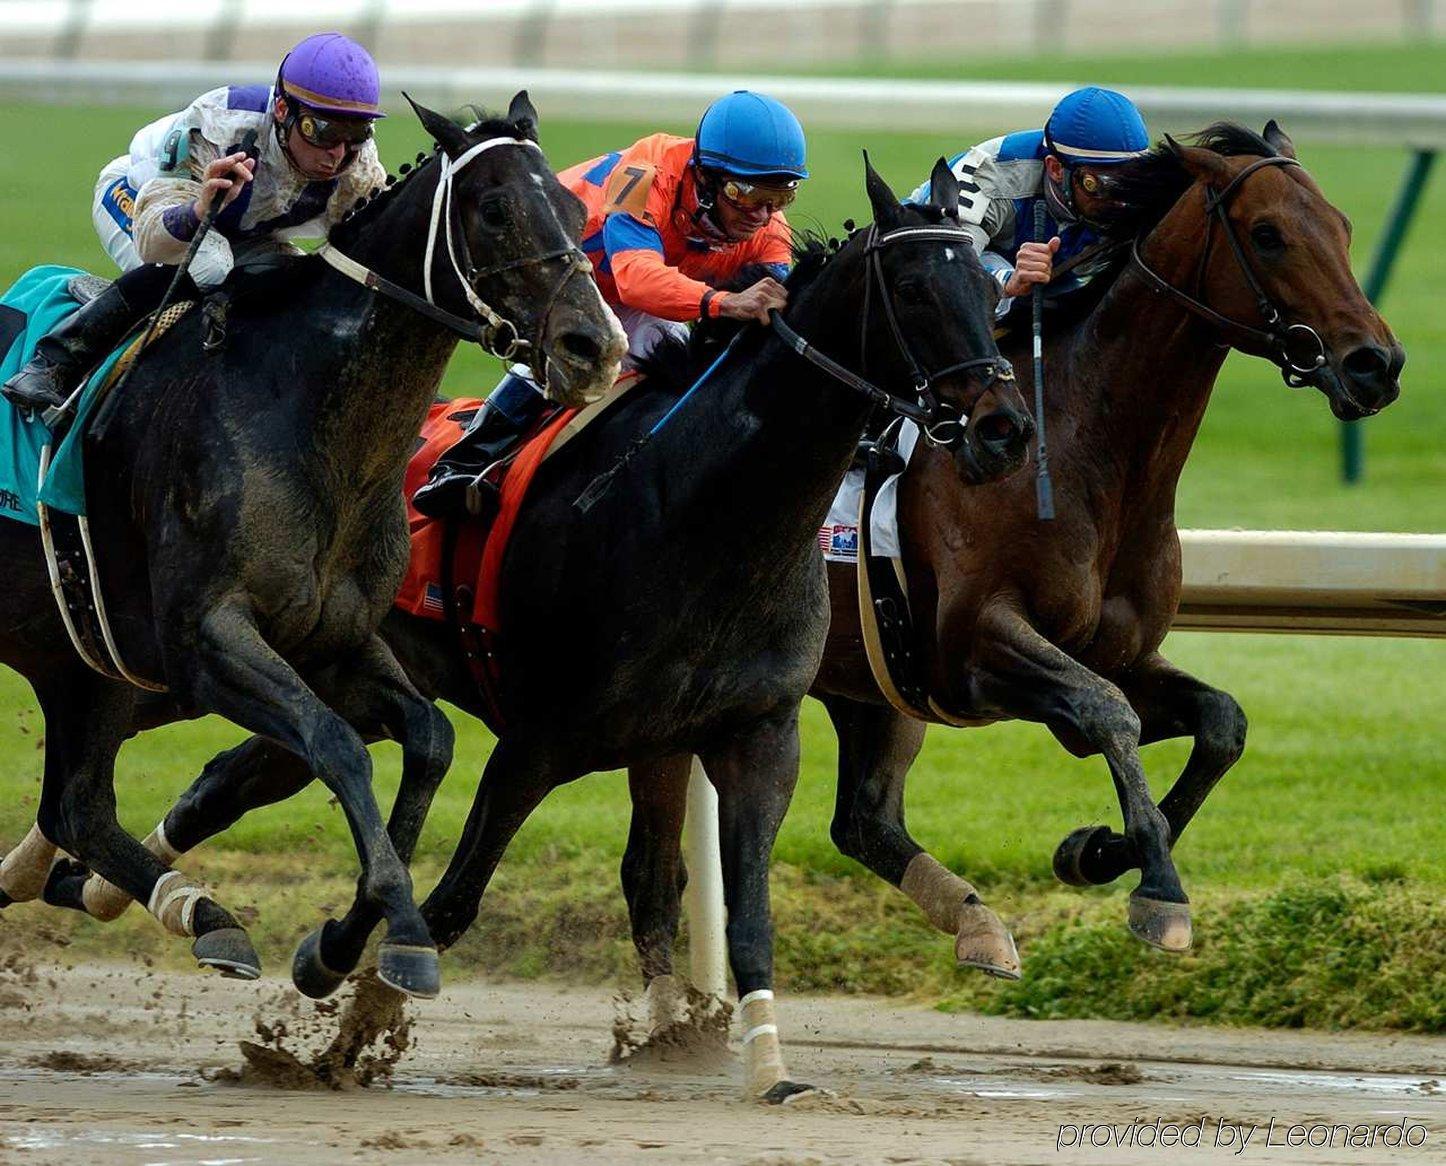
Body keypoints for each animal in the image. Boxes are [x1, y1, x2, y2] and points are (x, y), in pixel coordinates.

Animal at [0, 96, 627, 1001]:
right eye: (493, 209)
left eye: (579, 212)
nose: (595, 347)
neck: (305, 420)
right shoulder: (207, 640)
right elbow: (336, 745)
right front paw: (400, 933)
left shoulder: (335, 638)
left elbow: (430, 739)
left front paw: (356, 935)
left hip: (80, 660)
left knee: (77, 807)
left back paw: (202, 914)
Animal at [53, 155, 1029, 1093]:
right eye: (915, 290)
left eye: (990, 293)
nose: (1004, 429)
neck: (702, 510)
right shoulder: (540, 740)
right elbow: (452, 903)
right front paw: (349, 1029)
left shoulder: (756, 734)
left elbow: (747, 918)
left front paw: (773, 1073)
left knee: (235, 773)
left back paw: (92, 884)